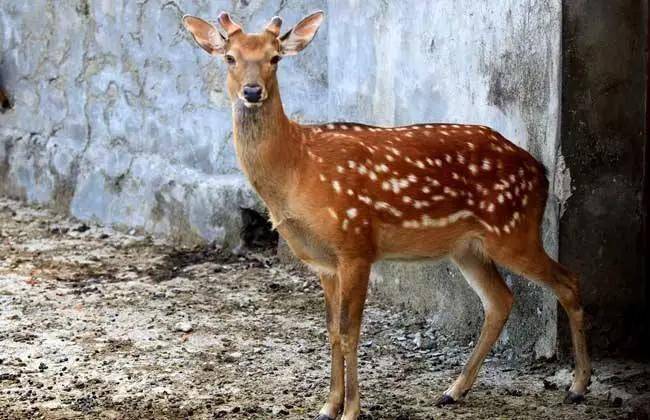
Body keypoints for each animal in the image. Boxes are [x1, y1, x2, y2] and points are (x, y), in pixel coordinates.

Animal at [182, 11, 591, 420]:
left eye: (275, 58)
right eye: (230, 58)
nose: (252, 91)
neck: (297, 168)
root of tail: (541, 170)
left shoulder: (356, 243)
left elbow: (351, 330)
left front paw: (351, 410)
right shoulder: (324, 262)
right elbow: (331, 329)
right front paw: (328, 406)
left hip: (513, 229)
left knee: (568, 281)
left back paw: (578, 386)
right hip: (468, 247)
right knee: (500, 300)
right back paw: (454, 390)